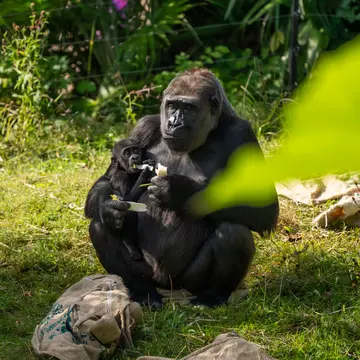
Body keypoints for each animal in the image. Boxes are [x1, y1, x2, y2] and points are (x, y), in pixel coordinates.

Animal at [86, 69, 280, 308]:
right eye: (171, 105)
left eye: (188, 108)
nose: (173, 123)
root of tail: (169, 287)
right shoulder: (144, 126)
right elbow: (107, 180)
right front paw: (108, 208)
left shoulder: (243, 135)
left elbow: (264, 207)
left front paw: (176, 191)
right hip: (150, 274)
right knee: (99, 227)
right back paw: (143, 291)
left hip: (187, 282)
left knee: (234, 232)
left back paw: (211, 296)